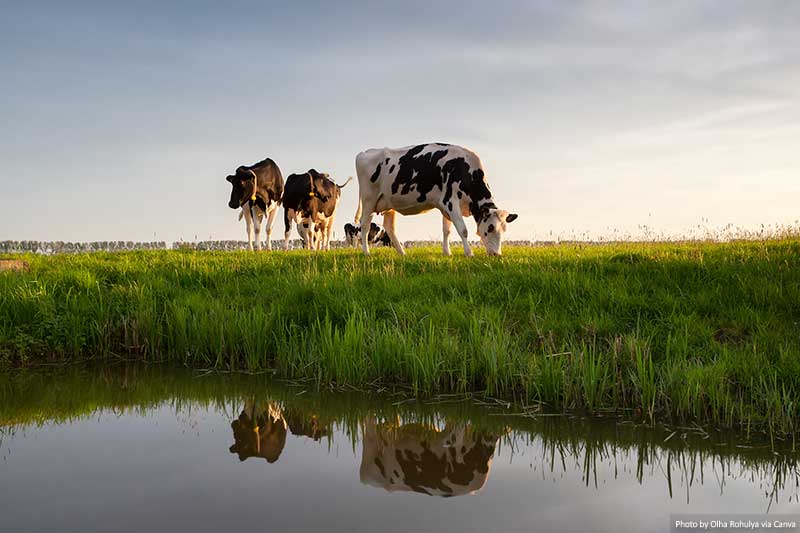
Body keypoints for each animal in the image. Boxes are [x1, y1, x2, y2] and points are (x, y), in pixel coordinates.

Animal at [354, 143, 520, 256]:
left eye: (504, 229)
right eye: (490, 227)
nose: (497, 254)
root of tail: (364, 152)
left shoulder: (445, 205)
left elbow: (447, 230)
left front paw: (447, 253)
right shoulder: (450, 201)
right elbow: (463, 229)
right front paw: (469, 253)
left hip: (389, 203)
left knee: (389, 227)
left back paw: (402, 253)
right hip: (369, 199)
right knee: (365, 225)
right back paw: (366, 253)